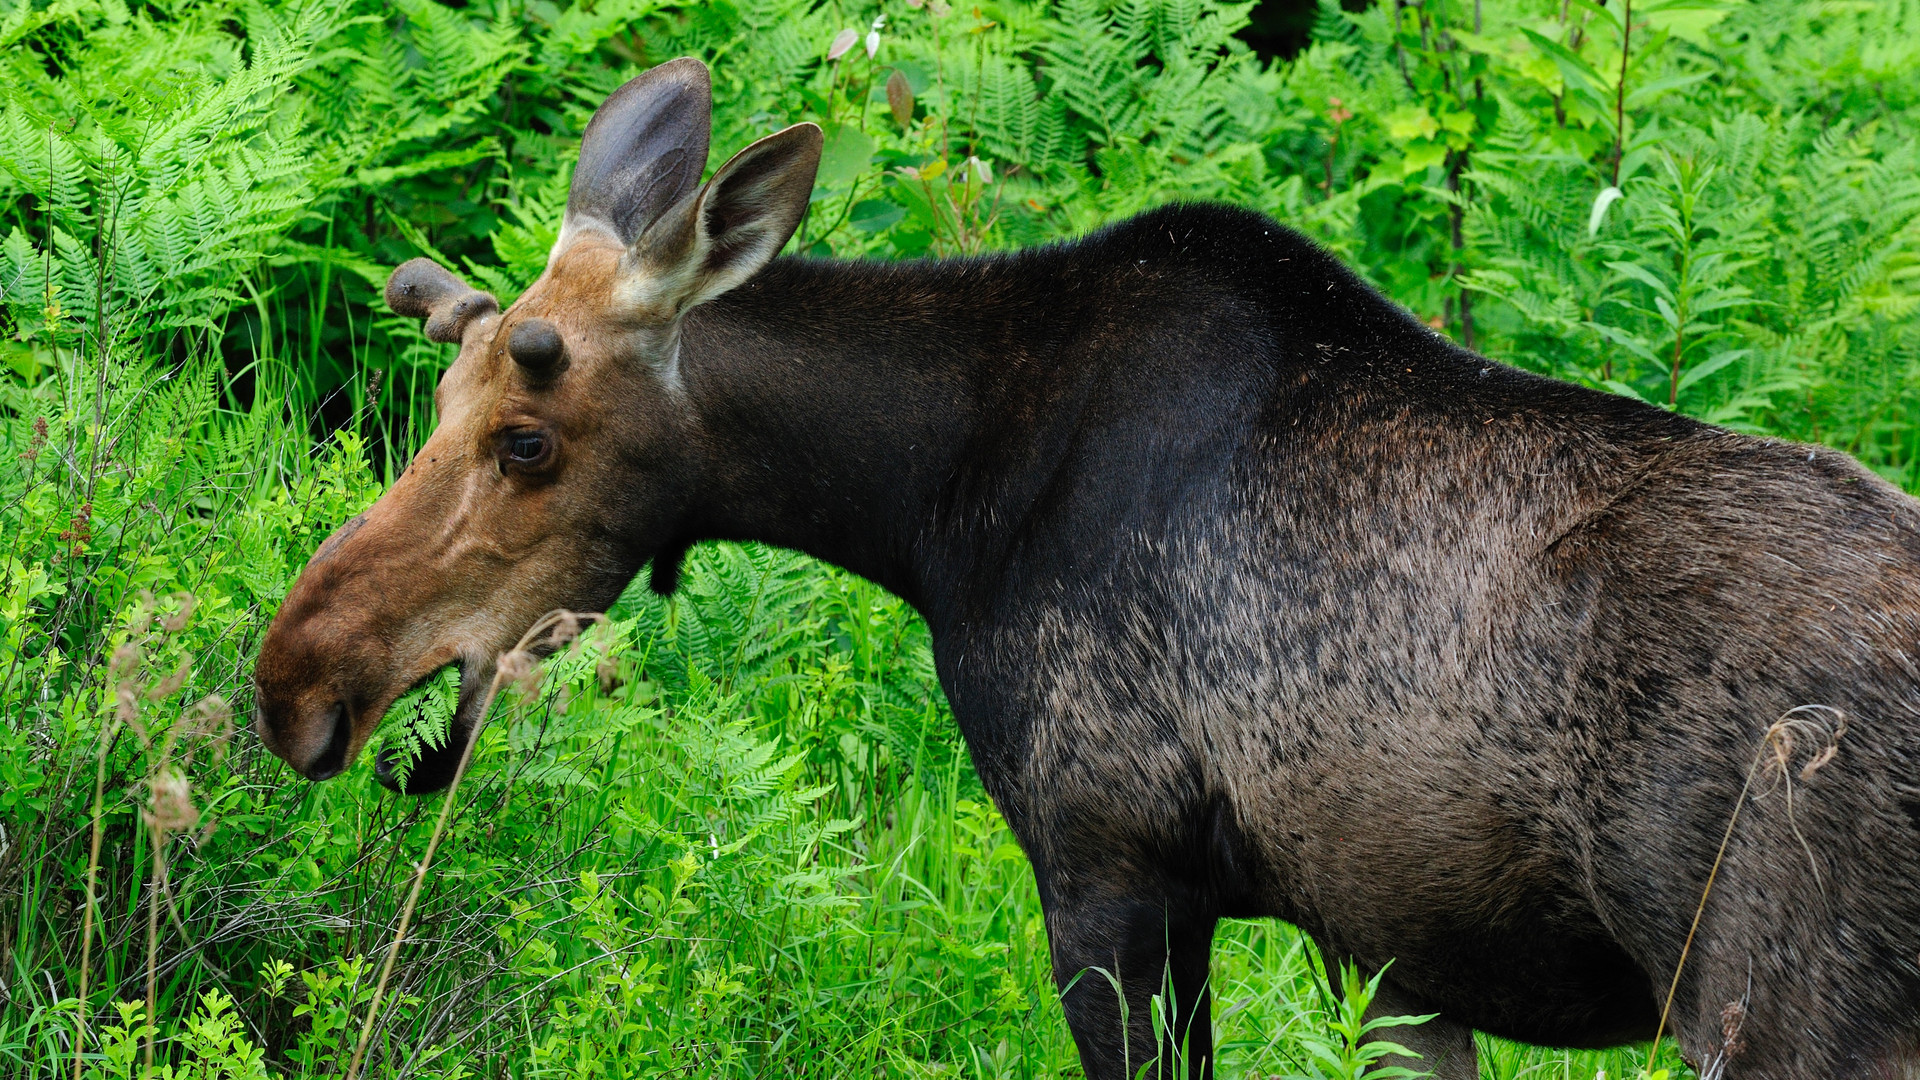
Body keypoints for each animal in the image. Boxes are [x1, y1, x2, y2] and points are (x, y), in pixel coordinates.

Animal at [255, 56, 1920, 1076]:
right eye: (440, 398)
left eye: (528, 437)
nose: (296, 678)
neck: (932, 509)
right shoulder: (1387, 949)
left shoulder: (1111, 871)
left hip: (1783, 1007)